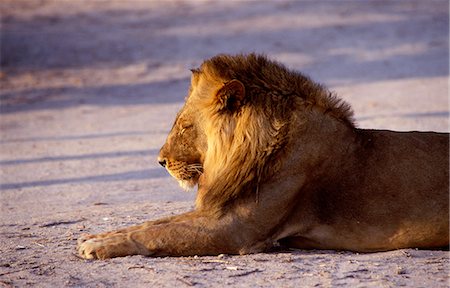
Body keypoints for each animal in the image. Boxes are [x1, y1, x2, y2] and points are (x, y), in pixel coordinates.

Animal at [78, 54, 450, 258]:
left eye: (184, 126)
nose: (160, 161)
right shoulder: (219, 211)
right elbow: (154, 224)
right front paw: (96, 237)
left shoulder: (235, 229)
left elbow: (158, 234)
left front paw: (95, 247)